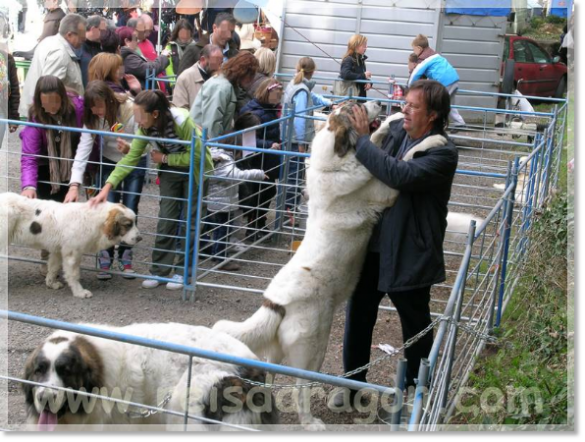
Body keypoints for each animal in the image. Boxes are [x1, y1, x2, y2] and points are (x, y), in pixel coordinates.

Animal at [0, 193, 141, 298]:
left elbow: (53, 268)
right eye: (128, 225)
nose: (140, 238)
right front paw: (79, 292)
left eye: (134, 222)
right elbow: (73, 275)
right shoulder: (72, 253)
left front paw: (51, 284)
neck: (95, 220)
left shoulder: (58, 251)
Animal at [214, 101, 448, 428]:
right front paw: (435, 140)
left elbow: (376, 141)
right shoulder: (387, 189)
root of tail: (274, 302)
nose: (378, 100)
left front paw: (393, 119)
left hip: (279, 349)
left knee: (271, 372)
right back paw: (310, 422)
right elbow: (407, 157)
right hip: (314, 346)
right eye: (357, 106)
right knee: (299, 387)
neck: (334, 162)